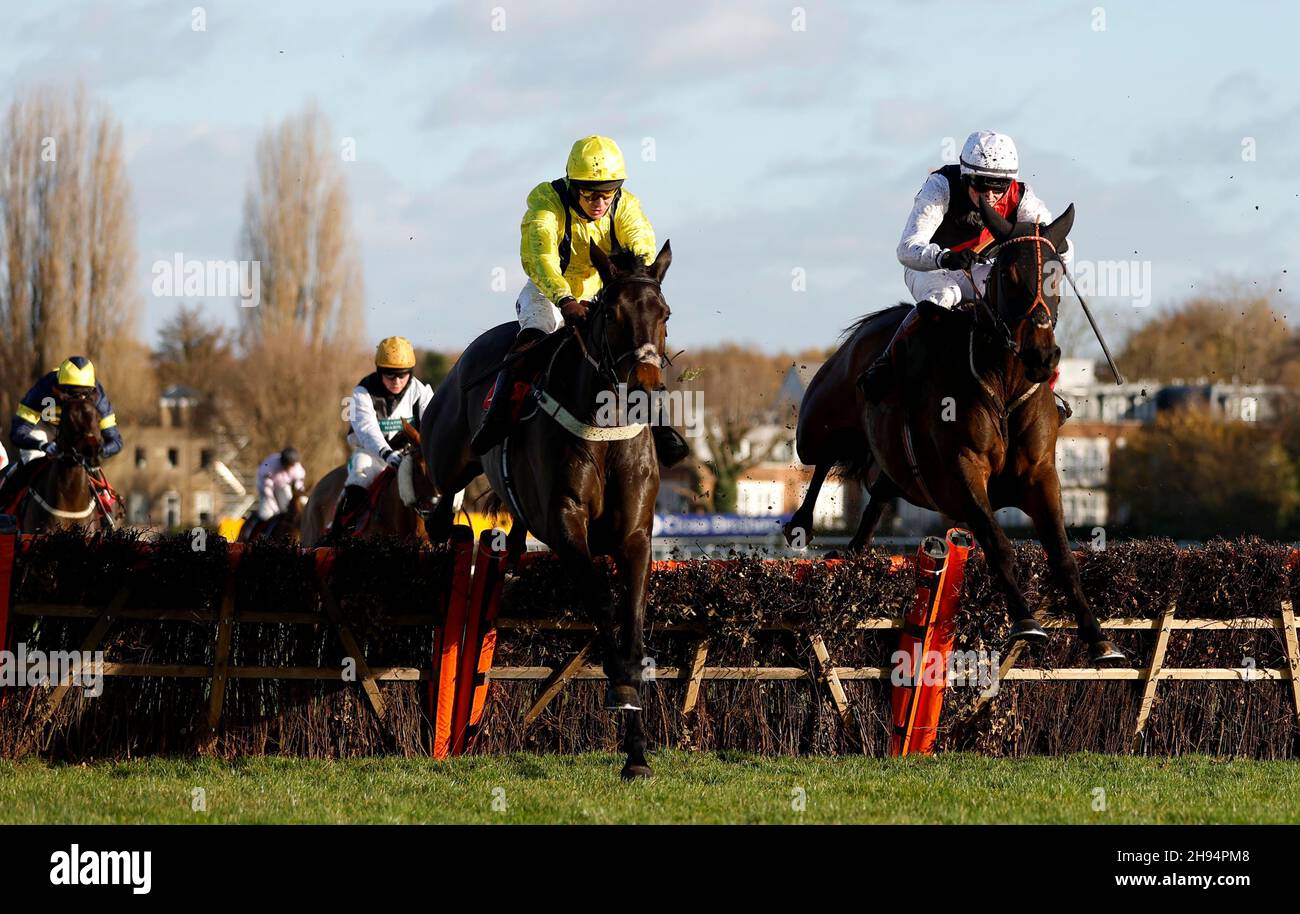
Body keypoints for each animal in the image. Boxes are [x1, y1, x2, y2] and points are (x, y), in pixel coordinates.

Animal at [421, 239, 676, 774]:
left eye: (664, 313)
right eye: (612, 315)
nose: (646, 388)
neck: (606, 428)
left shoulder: (636, 536)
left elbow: (634, 621)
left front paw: (637, 753)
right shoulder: (565, 524)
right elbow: (601, 601)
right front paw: (621, 690)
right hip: (449, 450)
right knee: (434, 480)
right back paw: (439, 521)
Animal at [785, 200, 1123, 660]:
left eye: (1057, 275)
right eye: (1008, 275)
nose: (1041, 357)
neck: (1003, 386)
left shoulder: (1040, 475)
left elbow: (1062, 556)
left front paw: (1098, 636)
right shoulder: (962, 470)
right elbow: (997, 543)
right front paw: (1026, 621)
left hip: (895, 474)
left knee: (874, 501)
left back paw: (852, 552)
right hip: (819, 425)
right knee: (821, 460)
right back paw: (800, 523)